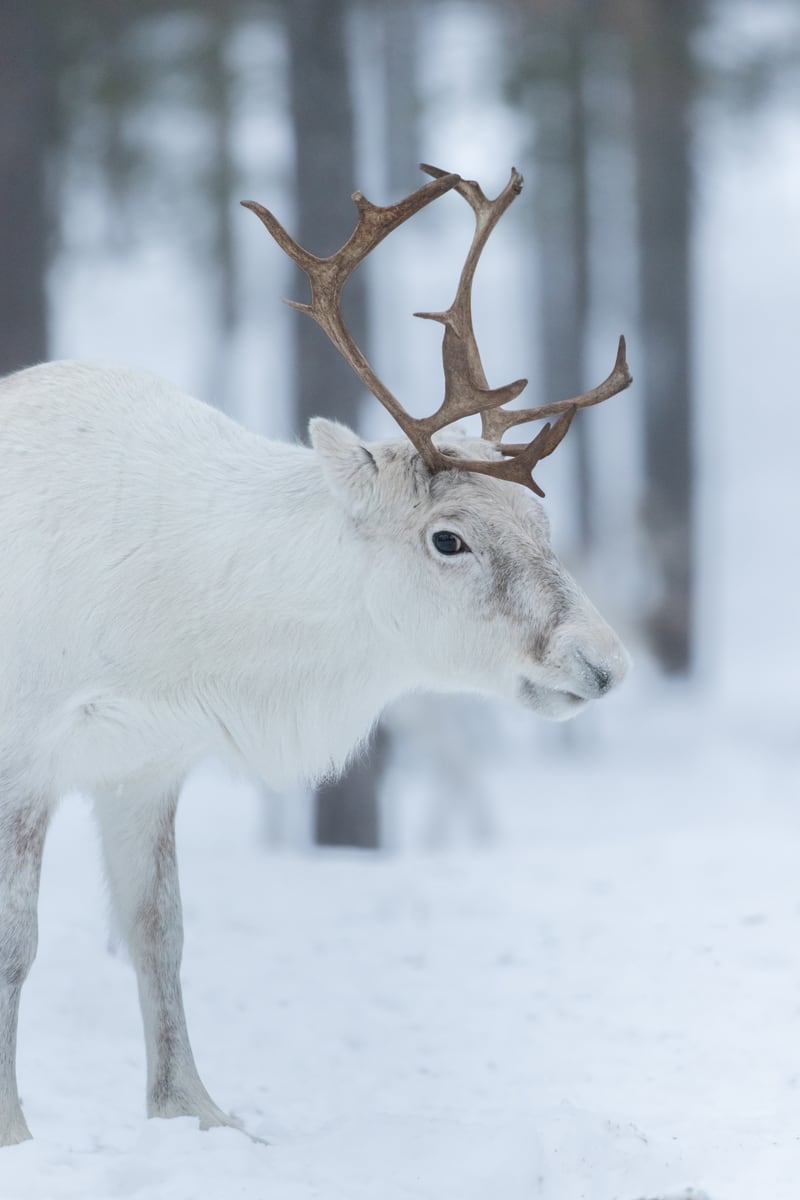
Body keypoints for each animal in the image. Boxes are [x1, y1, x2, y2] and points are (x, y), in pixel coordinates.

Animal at [0, 165, 631, 1145]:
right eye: (449, 538)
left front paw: (199, 1115)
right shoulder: (27, 755)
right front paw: (17, 1132)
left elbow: (159, 930)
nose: (602, 661)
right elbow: (17, 945)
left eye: (542, 519)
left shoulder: (143, 764)